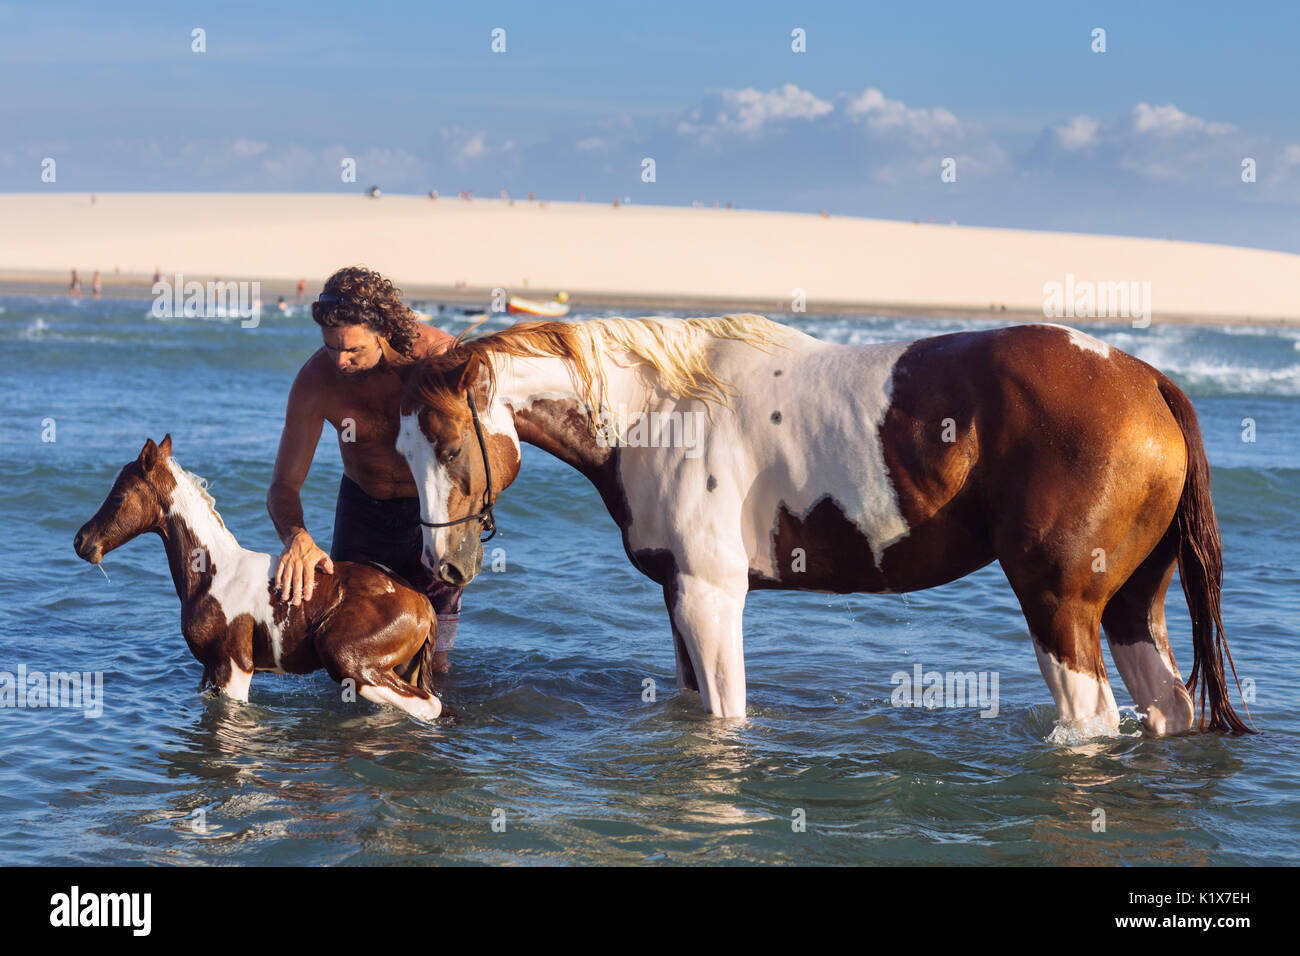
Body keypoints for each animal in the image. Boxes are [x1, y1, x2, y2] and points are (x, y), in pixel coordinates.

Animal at [74, 437, 441, 723]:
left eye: (119, 496)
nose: (81, 541)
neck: (214, 574)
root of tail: (422, 603)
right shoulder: (209, 670)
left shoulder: (235, 667)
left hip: (349, 660)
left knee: (428, 705)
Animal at [395, 317, 1248, 738]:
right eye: (397, 449)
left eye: (449, 446)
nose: (441, 565)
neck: (662, 407)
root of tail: (1148, 380)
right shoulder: (679, 596)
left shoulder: (710, 597)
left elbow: (725, 720)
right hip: (1131, 606)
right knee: (1166, 710)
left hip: (1061, 607)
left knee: (1092, 721)